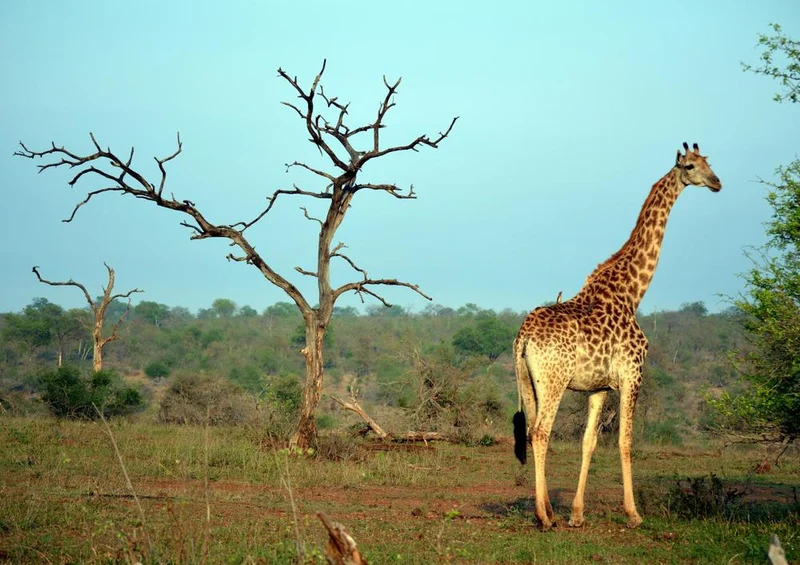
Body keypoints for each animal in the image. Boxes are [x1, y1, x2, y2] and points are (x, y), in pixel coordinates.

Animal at [513, 142, 721, 531]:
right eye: (690, 166)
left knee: (532, 430)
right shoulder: (631, 376)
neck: (631, 293)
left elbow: (589, 442)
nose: (717, 182)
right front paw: (633, 513)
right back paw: (543, 517)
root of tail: (523, 337)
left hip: (526, 381)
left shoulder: (598, 387)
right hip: (553, 380)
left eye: (708, 163)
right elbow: (625, 441)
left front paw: (577, 514)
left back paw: (548, 511)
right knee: (541, 431)